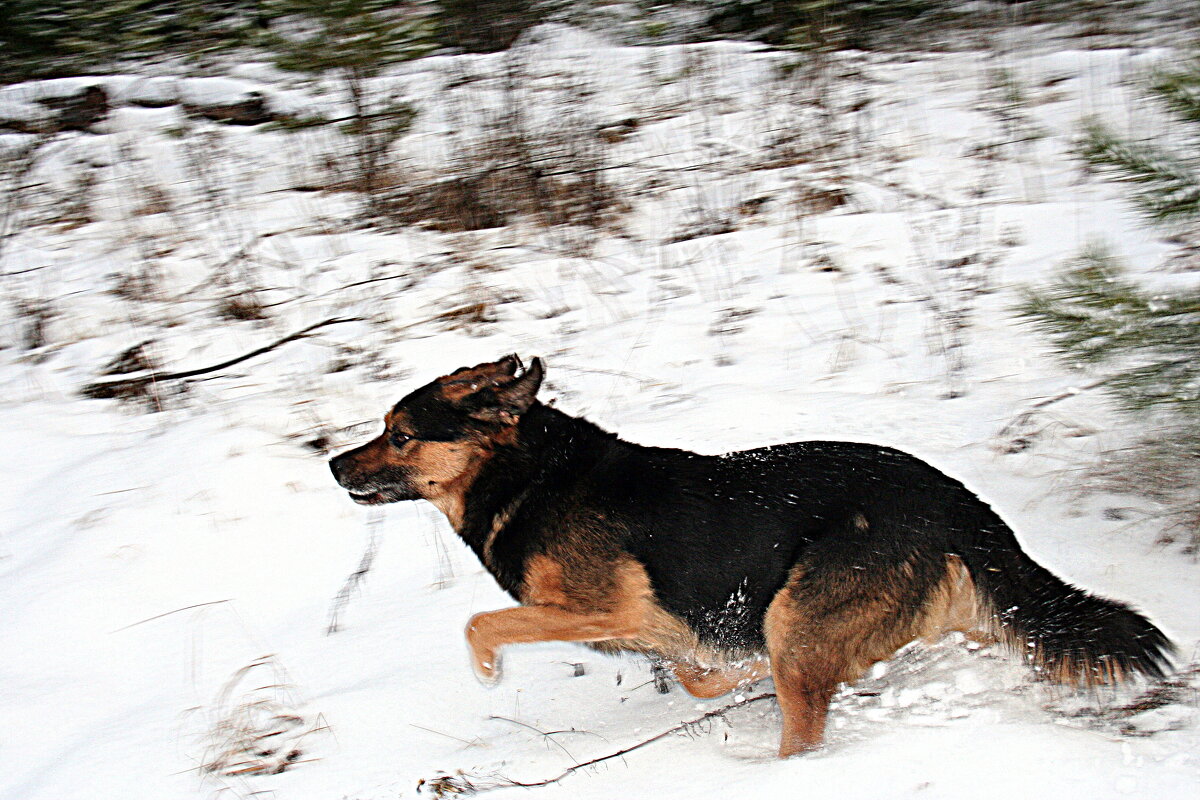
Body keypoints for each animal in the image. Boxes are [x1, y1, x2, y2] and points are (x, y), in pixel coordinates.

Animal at [331, 355, 1171, 758]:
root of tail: (954, 496)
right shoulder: (663, 626)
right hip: (929, 613)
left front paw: (485, 671)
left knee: (804, 730)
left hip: (798, 623)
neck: (528, 477)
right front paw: (733, 678)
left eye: (398, 435)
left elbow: (482, 624)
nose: (334, 465)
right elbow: (698, 672)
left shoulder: (606, 608)